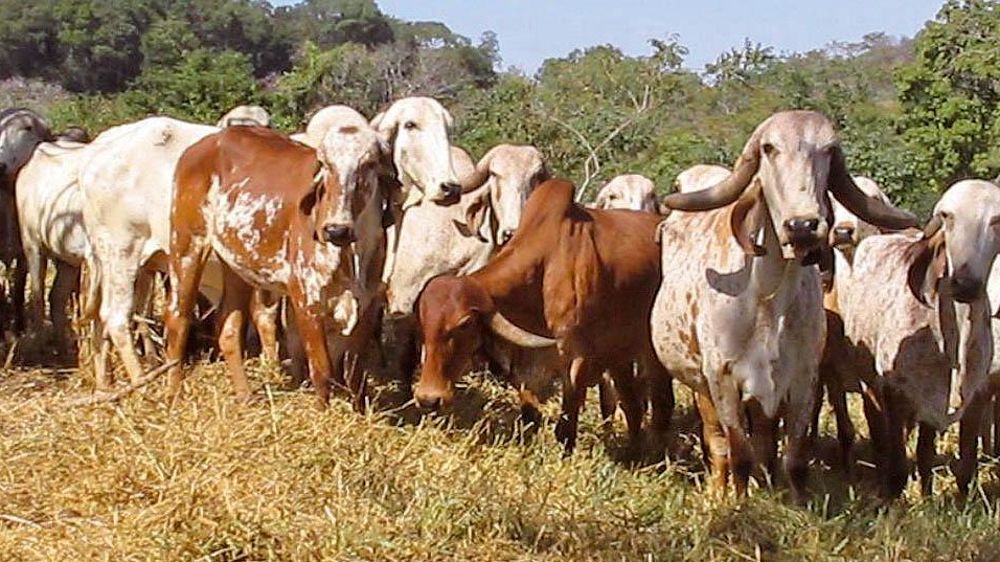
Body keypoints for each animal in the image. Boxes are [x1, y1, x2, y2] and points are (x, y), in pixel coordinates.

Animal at [164, 123, 385, 408]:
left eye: (369, 163)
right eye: (325, 164)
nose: (336, 229)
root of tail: (207, 143)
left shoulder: (368, 304)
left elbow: (357, 375)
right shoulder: (306, 299)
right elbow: (321, 369)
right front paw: (321, 412)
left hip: (236, 265)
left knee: (228, 326)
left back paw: (245, 395)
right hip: (187, 244)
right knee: (177, 317)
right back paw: (173, 394)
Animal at [414, 179, 672, 453]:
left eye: (464, 324)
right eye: (423, 325)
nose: (428, 399)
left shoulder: (577, 358)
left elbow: (566, 428)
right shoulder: (525, 369)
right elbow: (530, 416)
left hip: (652, 353)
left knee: (660, 404)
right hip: (618, 354)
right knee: (631, 405)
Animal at [651, 110, 918, 500]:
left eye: (827, 150)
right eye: (769, 148)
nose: (802, 225)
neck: (767, 298)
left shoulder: (803, 381)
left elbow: (793, 459)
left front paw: (794, 501)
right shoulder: (723, 379)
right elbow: (738, 454)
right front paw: (739, 503)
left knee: (764, 445)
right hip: (701, 386)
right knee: (718, 443)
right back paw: (718, 490)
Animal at [837, 180, 1000, 497]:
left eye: (996, 220)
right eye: (947, 216)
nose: (965, 284)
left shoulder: (977, 393)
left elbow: (964, 467)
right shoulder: (892, 389)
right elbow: (899, 464)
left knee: (924, 452)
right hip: (869, 382)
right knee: (880, 435)